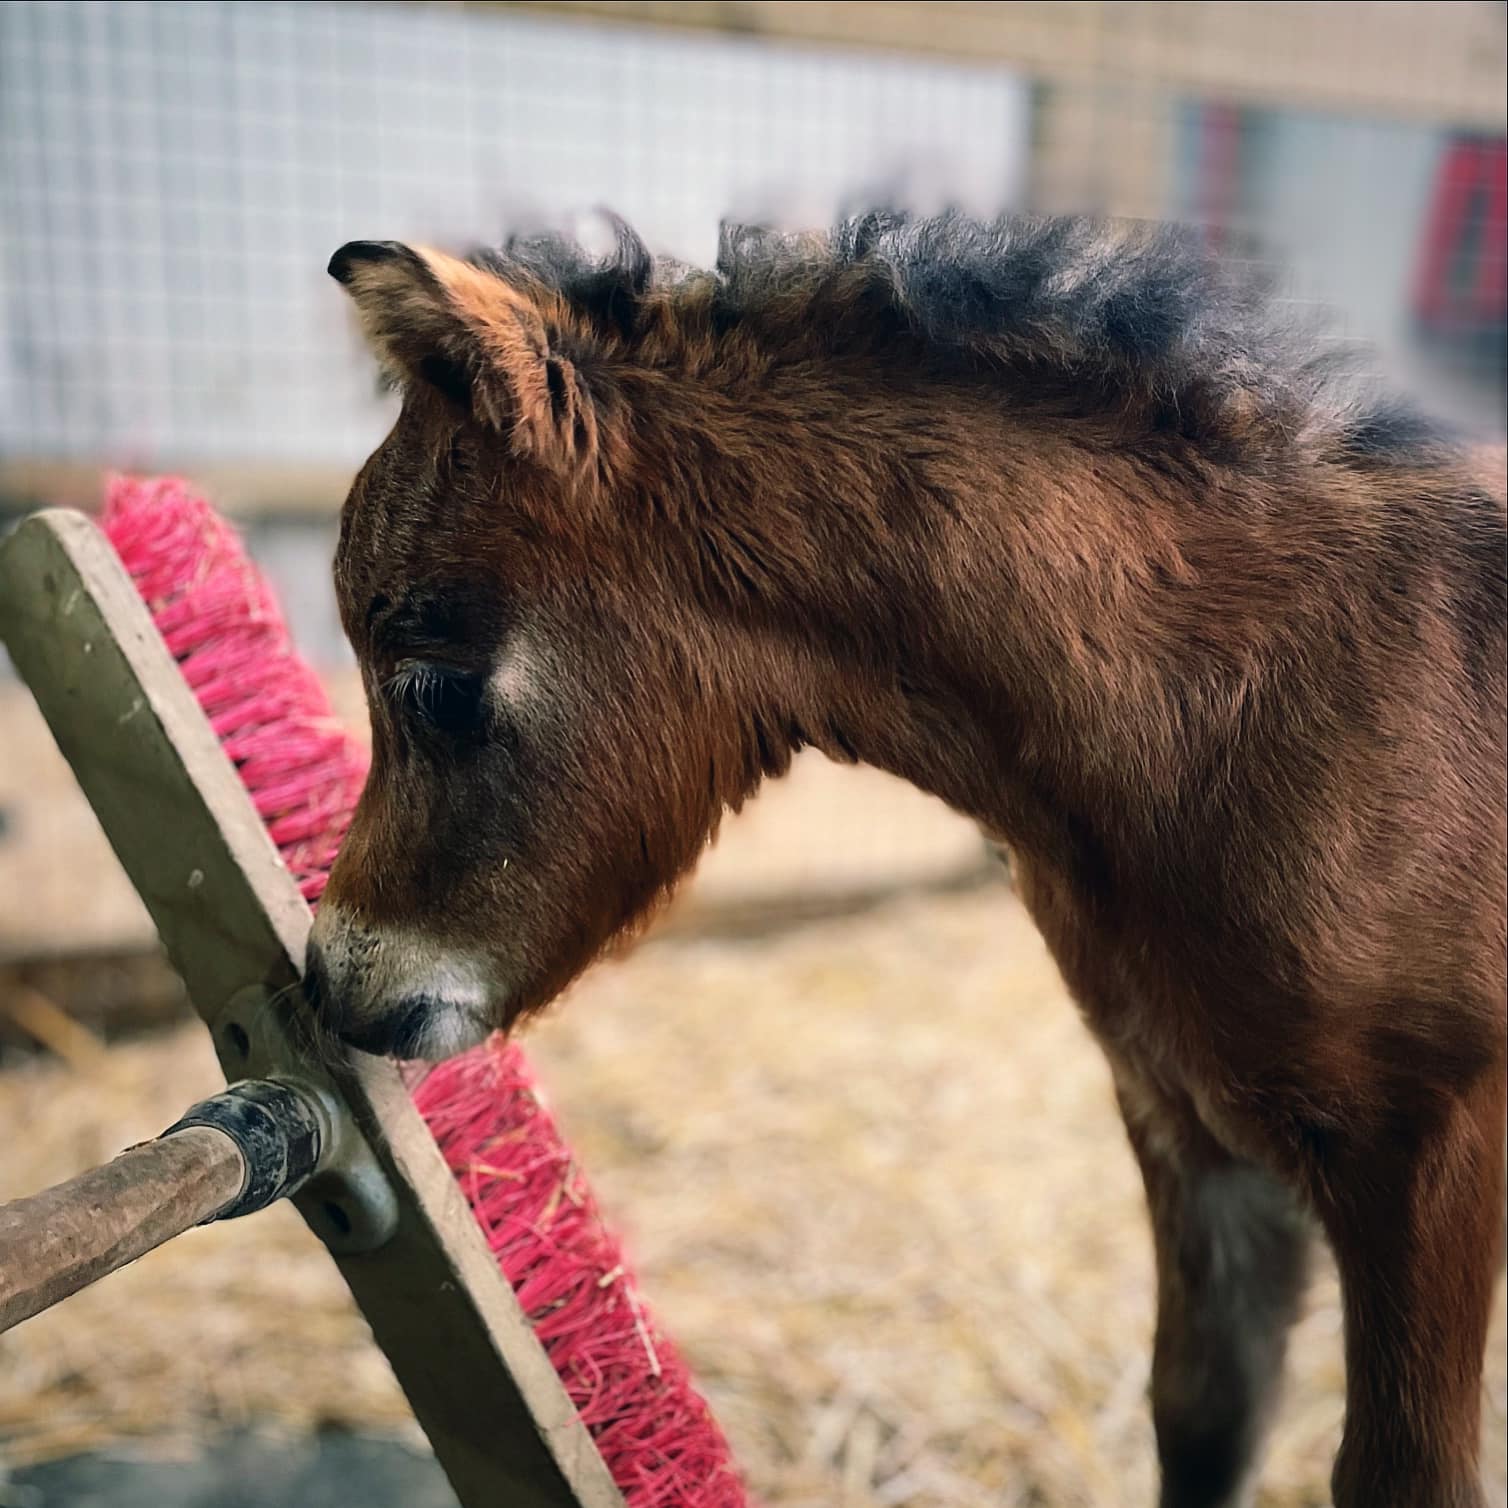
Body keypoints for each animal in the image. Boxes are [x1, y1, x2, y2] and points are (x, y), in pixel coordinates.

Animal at [306, 212, 1507, 1508]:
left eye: (437, 682)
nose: (336, 980)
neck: (1232, 710)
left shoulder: (1426, 1151)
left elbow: (1399, 1471)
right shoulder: (1192, 1121)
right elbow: (1203, 1411)